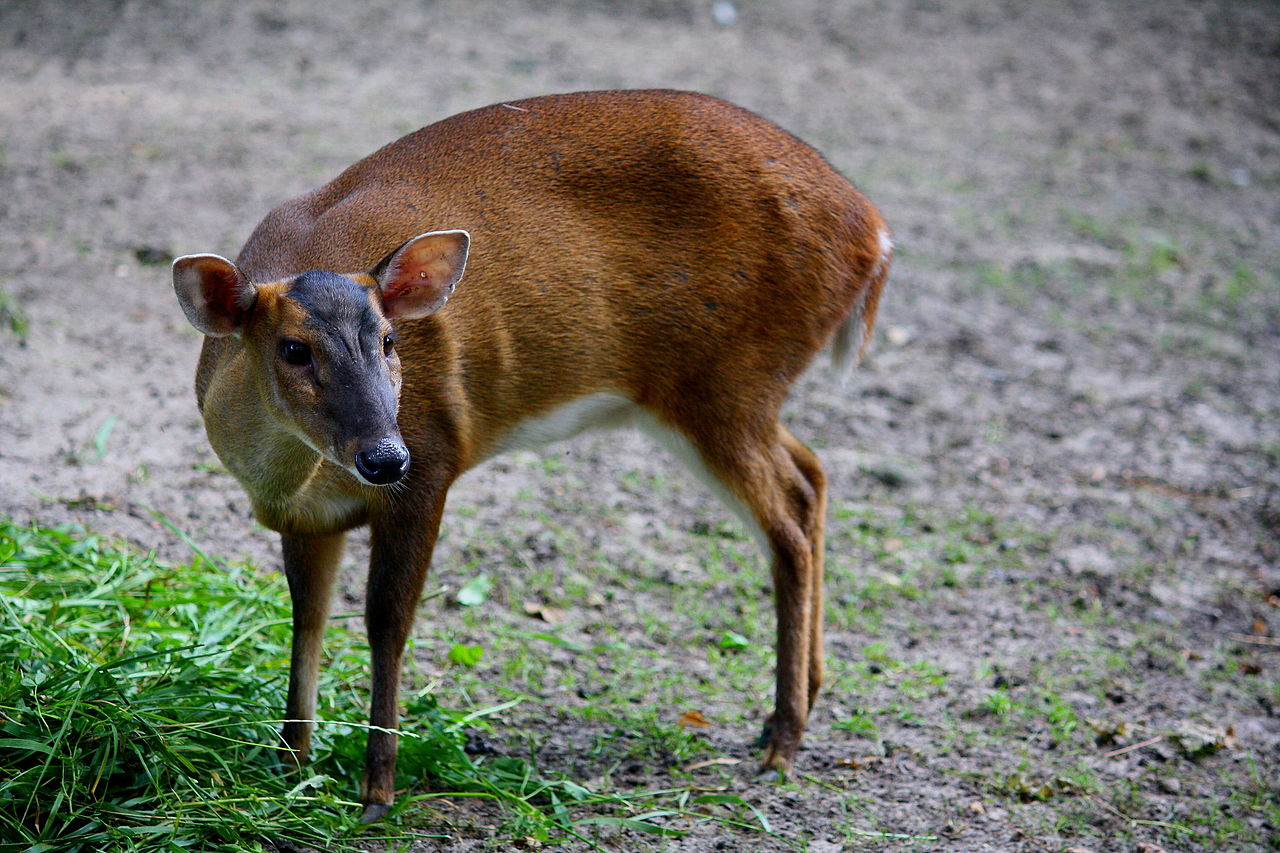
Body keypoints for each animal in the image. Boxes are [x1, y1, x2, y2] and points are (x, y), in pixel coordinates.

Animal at [172, 89, 890, 819]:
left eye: (390, 340)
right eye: (293, 348)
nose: (384, 457)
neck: (295, 477)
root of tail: (873, 232)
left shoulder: (434, 457)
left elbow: (386, 621)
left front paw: (377, 792)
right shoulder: (309, 515)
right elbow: (307, 618)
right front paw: (290, 765)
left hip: (728, 379)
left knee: (789, 513)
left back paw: (785, 740)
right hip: (729, 395)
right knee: (812, 473)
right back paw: (791, 710)